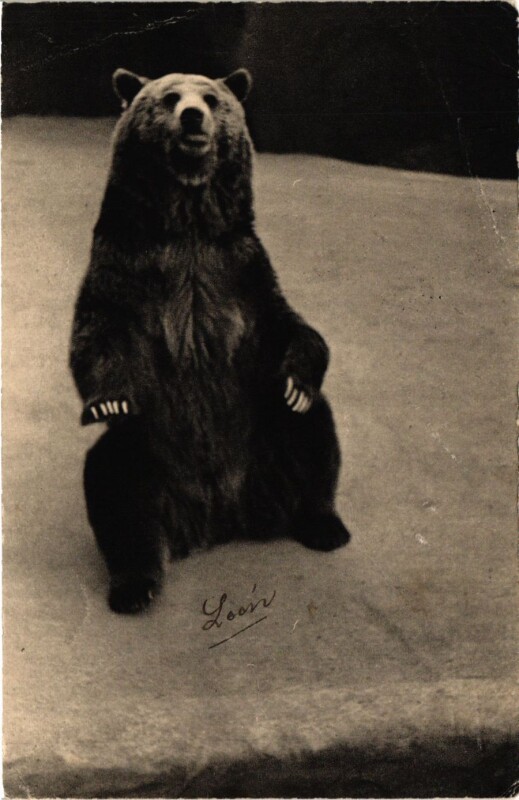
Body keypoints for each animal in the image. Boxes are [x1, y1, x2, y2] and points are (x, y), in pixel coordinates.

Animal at [69, 67, 350, 614]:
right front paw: (109, 400)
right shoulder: (124, 261)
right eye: (169, 98)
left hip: (265, 437)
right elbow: (97, 331)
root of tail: (218, 516)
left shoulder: (241, 269)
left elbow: (291, 327)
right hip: (148, 451)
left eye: (212, 98)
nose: (193, 117)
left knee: (312, 432)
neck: (188, 220)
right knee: (116, 490)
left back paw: (325, 525)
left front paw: (296, 382)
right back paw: (134, 587)